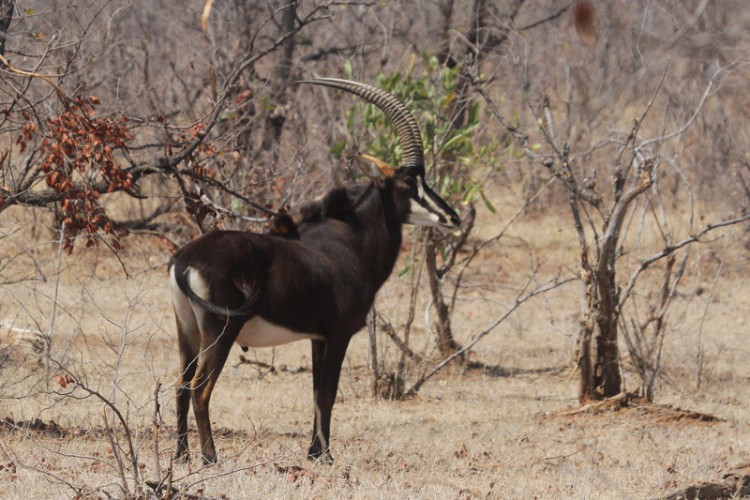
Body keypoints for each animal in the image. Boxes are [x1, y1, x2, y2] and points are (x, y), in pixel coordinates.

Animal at [170, 76, 462, 462]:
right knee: (201, 388)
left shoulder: (317, 337)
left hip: (187, 332)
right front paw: (325, 456)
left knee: (180, 386)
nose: (452, 217)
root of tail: (184, 261)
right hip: (221, 330)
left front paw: (312, 452)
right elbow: (328, 393)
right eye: (407, 183)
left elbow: (314, 392)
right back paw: (209, 456)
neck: (352, 238)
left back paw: (181, 456)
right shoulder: (339, 334)